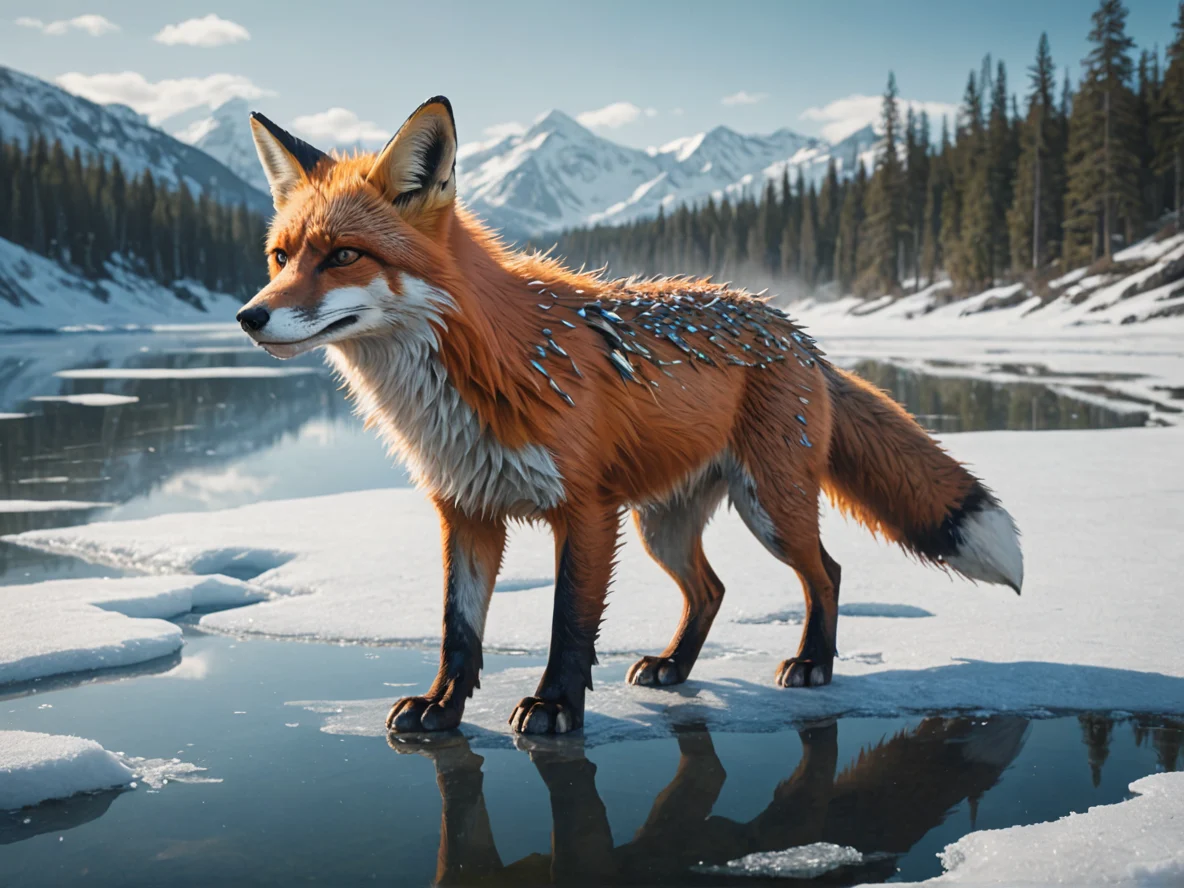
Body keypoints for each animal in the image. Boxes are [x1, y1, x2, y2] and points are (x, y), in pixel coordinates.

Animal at [236, 96, 1023, 736]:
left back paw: (813, 664)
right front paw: (441, 707)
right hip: (662, 527)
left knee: (824, 571)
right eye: (279, 256)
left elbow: (569, 624)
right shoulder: (466, 508)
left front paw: (554, 706)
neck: (485, 367)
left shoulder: (585, 508)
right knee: (712, 589)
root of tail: (792, 327)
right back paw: (675, 667)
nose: (249, 316)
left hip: (768, 505)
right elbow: (459, 629)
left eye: (343, 255)